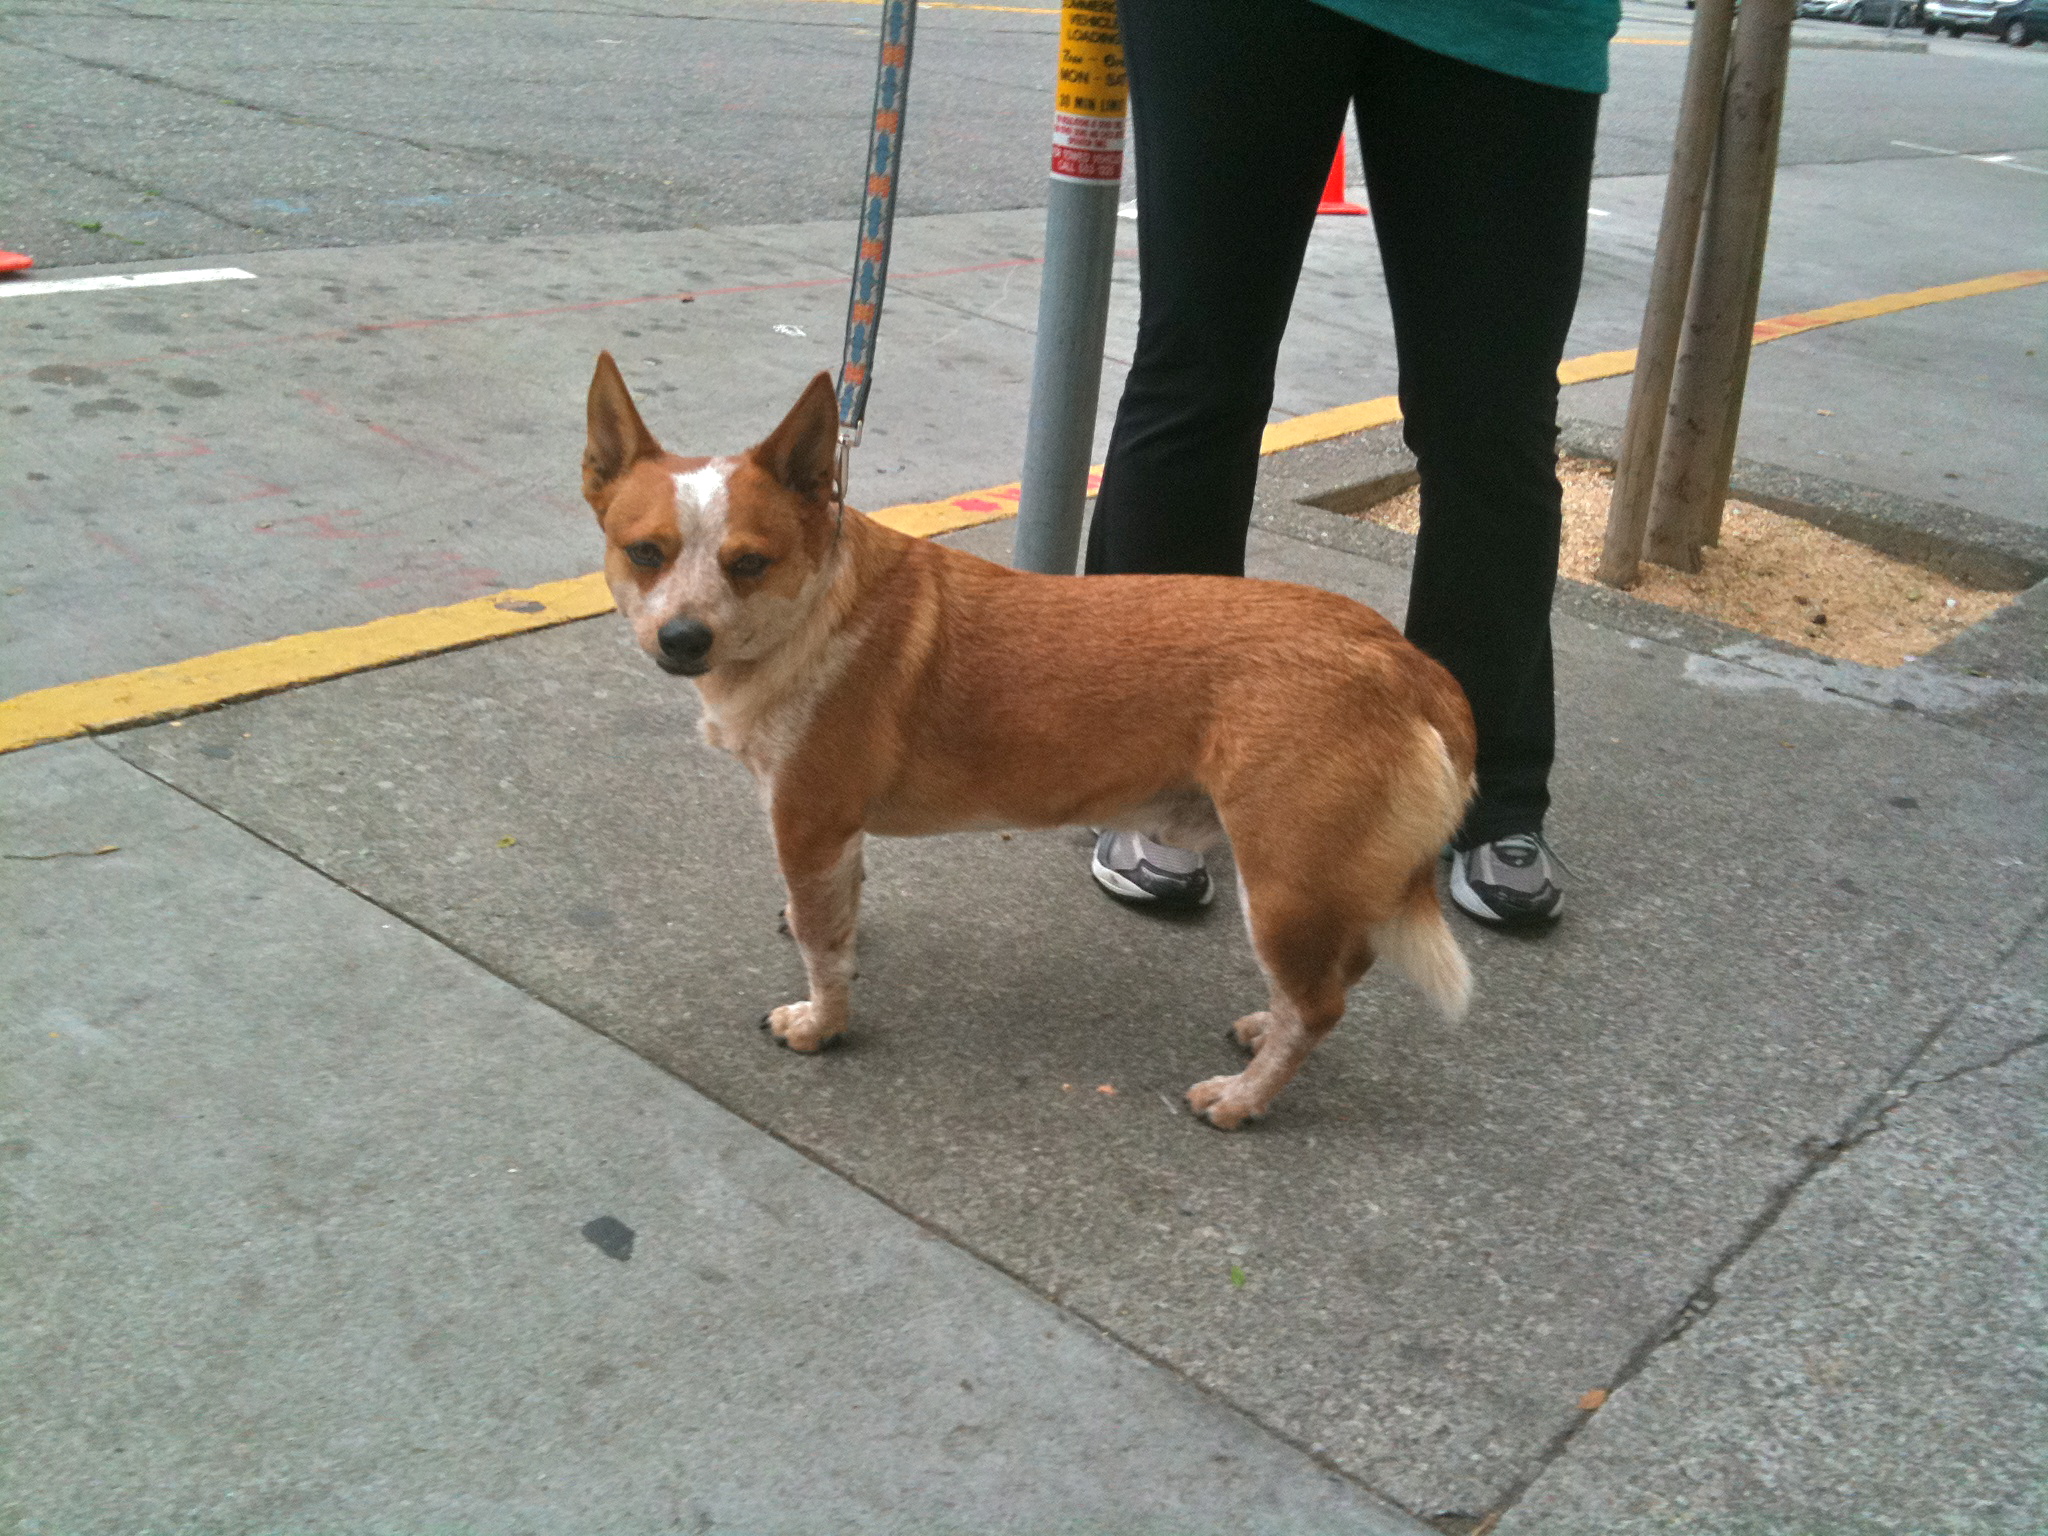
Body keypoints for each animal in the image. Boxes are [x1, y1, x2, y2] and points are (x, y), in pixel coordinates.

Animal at [585, 360, 1482, 1130]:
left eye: (749, 563)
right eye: (645, 553)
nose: (683, 639)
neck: (812, 615)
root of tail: (1404, 661)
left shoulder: (807, 823)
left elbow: (822, 946)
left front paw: (822, 1023)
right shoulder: (834, 837)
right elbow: (836, 915)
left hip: (1284, 882)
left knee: (1320, 1005)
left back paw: (1243, 1099)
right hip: (1318, 882)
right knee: (1331, 981)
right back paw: (1267, 1026)